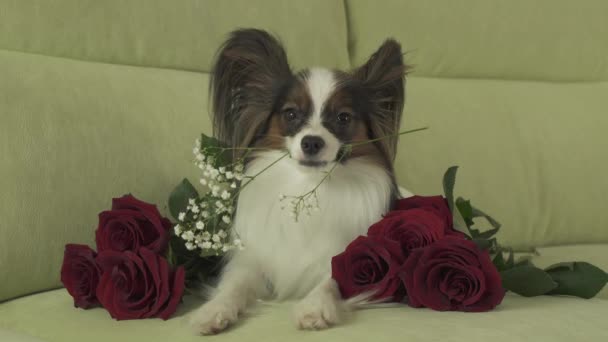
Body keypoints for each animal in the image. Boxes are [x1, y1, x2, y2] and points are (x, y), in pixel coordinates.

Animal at [190, 28, 408, 334]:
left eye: (343, 117)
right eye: (291, 114)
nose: (312, 142)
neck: (308, 184)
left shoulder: (347, 257)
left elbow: (331, 280)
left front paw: (314, 307)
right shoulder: (253, 260)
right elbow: (234, 284)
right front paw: (213, 310)